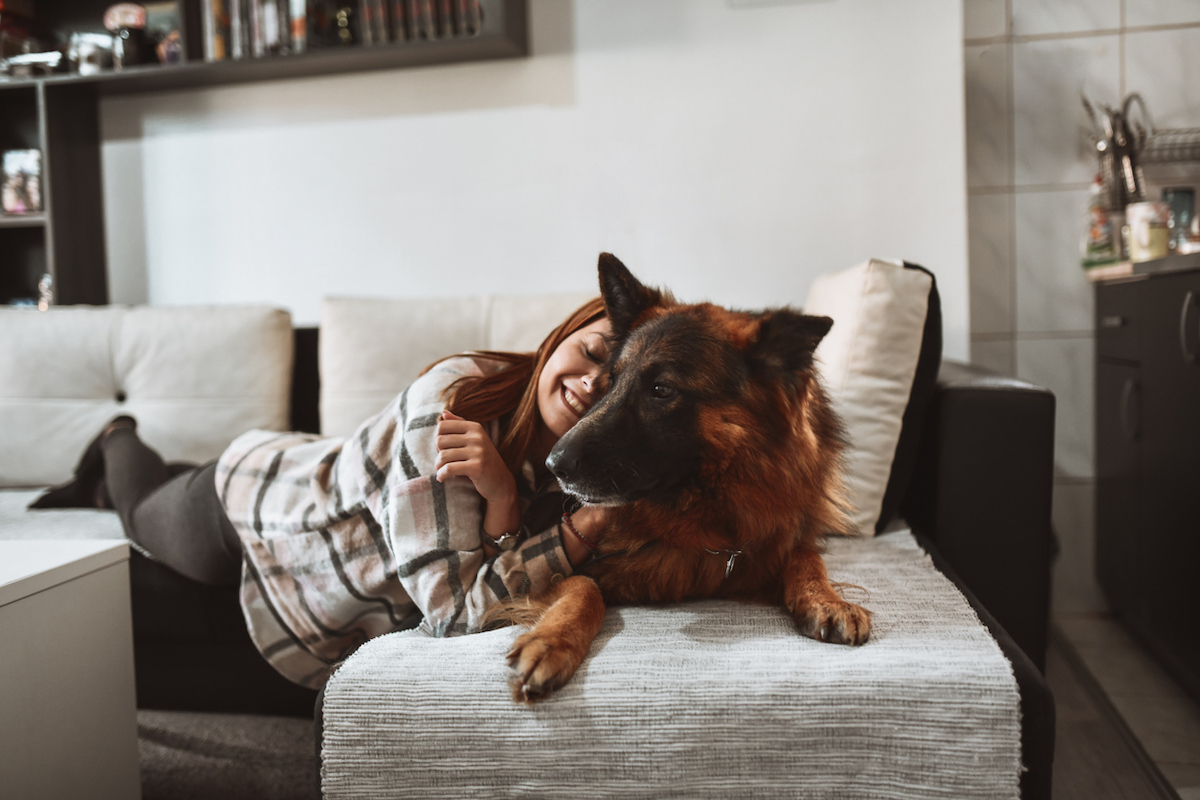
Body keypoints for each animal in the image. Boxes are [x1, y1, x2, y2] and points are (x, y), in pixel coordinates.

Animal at [496, 253, 873, 705]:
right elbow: (583, 587)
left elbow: (807, 557)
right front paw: (550, 642)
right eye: (611, 381)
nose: (554, 466)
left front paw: (828, 600)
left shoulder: (777, 536)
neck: (709, 511)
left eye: (661, 389)